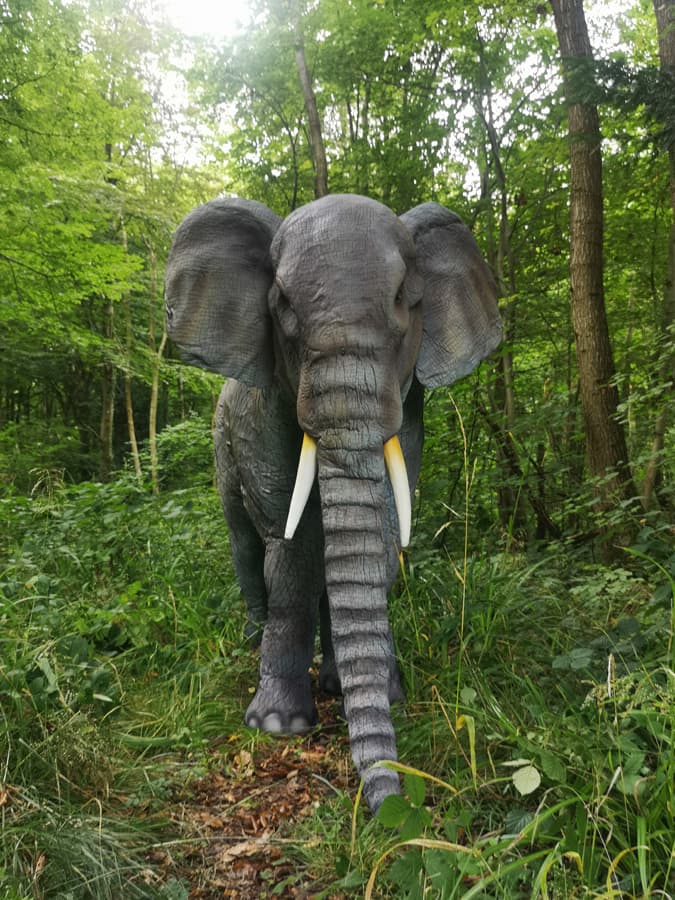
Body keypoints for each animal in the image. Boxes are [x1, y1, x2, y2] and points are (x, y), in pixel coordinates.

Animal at [165, 193, 501, 812]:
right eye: (281, 305)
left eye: (405, 299)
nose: (395, 811)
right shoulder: (268, 413)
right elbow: (291, 555)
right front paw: (276, 725)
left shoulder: (408, 406)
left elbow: (381, 541)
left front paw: (382, 694)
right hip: (221, 442)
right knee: (247, 547)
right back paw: (254, 642)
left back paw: (332, 683)